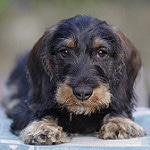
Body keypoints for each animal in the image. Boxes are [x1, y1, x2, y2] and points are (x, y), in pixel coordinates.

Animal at [4, 14, 146, 145]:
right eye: (64, 52)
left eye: (101, 52)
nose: (82, 92)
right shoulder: (26, 108)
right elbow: (39, 112)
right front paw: (43, 127)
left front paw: (120, 122)